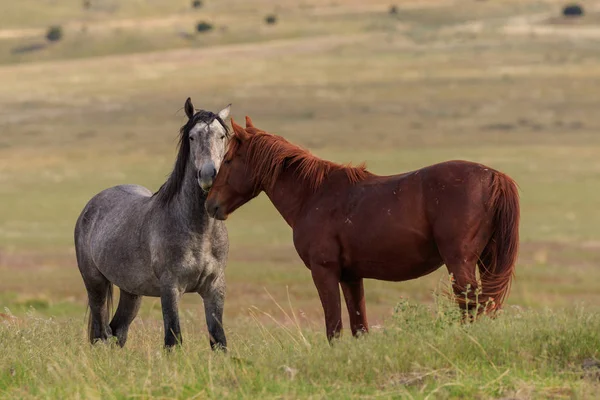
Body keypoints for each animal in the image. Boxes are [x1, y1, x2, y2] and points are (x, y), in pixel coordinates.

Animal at [74, 98, 232, 348]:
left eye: (222, 136)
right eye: (192, 137)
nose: (209, 175)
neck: (199, 231)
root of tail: (92, 204)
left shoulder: (215, 287)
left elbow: (219, 340)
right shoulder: (170, 288)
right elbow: (173, 338)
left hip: (131, 291)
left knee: (118, 330)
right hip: (95, 284)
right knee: (100, 333)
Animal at [204, 117, 516, 342]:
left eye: (228, 160)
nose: (210, 204)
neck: (312, 196)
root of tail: (493, 176)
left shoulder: (325, 272)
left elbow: (334, 328)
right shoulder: (351, 277)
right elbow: (359, 327)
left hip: (460, 264)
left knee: (472, 305)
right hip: (485, 261)